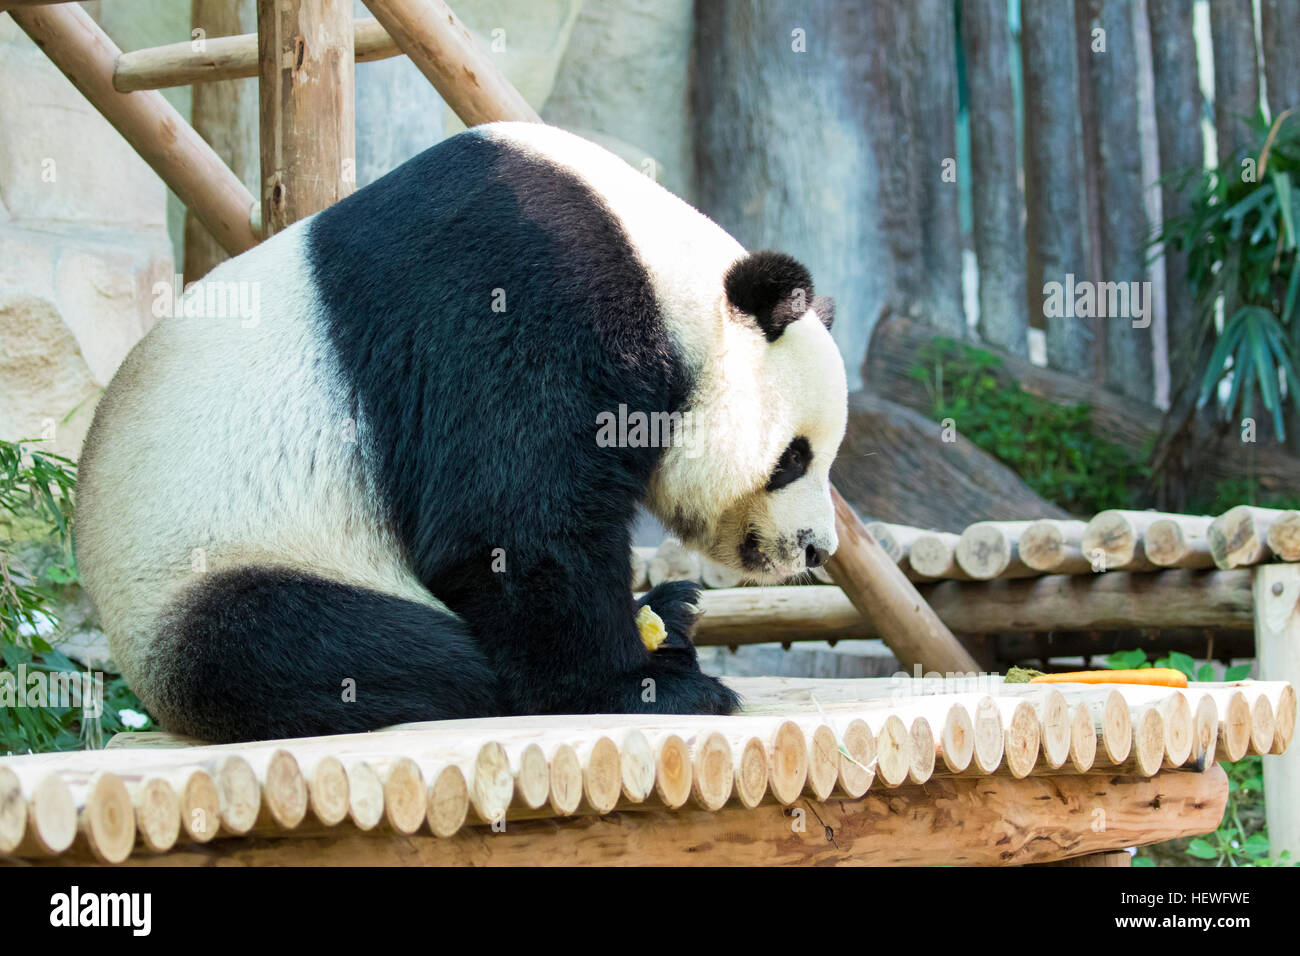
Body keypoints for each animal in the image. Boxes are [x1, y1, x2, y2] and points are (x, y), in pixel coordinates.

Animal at [78, 121, 852, 749]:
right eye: (793, 458)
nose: (815, 546)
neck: (666, 277)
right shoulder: (525, 287)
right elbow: (508, 521)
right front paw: (644, 686)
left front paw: (661, 616)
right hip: (219, 562)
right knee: (345, 651)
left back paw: (666, 612)